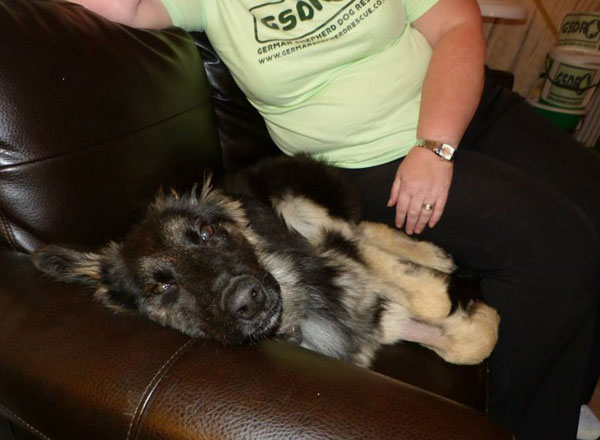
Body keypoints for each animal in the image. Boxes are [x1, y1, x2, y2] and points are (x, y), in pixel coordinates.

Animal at [30, 155, 500, 368]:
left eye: (207, 233)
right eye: (161, 287)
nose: (247, 298)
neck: (297, 311)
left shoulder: (339, 262)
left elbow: (450, 322)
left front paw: (463, 306)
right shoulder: (380, 319)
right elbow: (471, 342)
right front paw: (479, 314)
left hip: (293, 201)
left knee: (359, 229)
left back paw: (431, 254)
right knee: (362, 232)